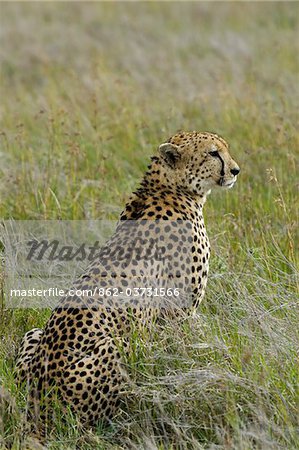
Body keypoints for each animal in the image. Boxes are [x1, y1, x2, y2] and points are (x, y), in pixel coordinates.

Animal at [15, 129, 241, 428]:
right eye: (213, 153)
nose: (236, 170)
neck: (169, 188)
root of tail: (37, 401)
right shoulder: (179, 313)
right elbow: (189, 346)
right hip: (118, 346)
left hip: (34, 334)